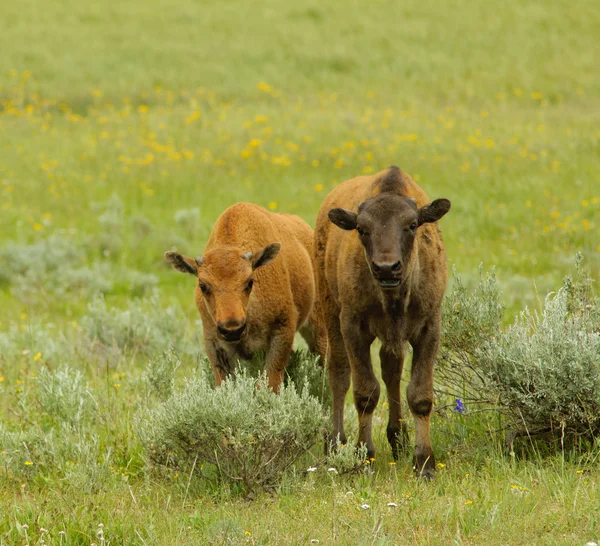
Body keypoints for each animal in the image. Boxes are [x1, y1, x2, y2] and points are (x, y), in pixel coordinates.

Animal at [164, 202, 326, 388]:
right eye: (202, 286)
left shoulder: (283, 330)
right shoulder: (214, 342)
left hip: (318, 326)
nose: (232, 329)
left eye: (250, 281)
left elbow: (270, 380)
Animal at [314, 165, 450, 476]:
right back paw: (335, 443)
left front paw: (424, 463)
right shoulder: (353, 328)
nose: (387, 268)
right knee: (339, 374)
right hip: (330, 312)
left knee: (391, 371)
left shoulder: (429, 327)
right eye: (362, 229)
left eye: (412, 224)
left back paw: (398, 439)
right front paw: (365, 457)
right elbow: (366, 392)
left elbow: (420, 395)